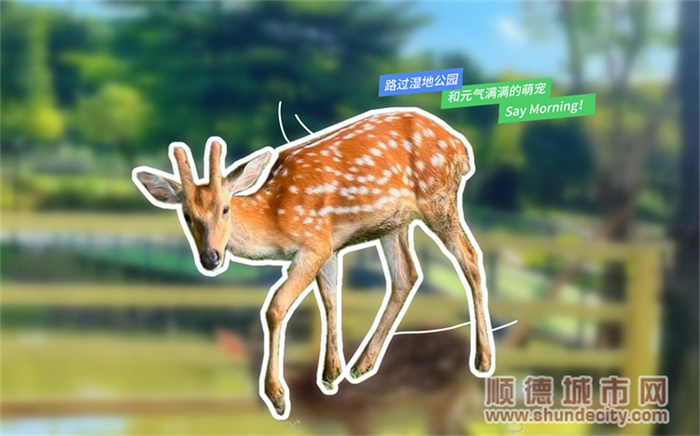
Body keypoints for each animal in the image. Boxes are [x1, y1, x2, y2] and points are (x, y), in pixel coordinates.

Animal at [132, 107, 495, 419]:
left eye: (225, 208)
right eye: (187, 215)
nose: (210, 257)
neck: (275, 215)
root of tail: (462, 148)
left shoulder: (313, 243)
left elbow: (275, 307)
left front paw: (278, 396)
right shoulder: (329, 246)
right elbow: (331, 298)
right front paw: (331, 374)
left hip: (438, 199)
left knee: (470, 257)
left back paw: (483, 359)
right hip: (393, 223)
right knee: (406, 275)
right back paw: (362, 365)